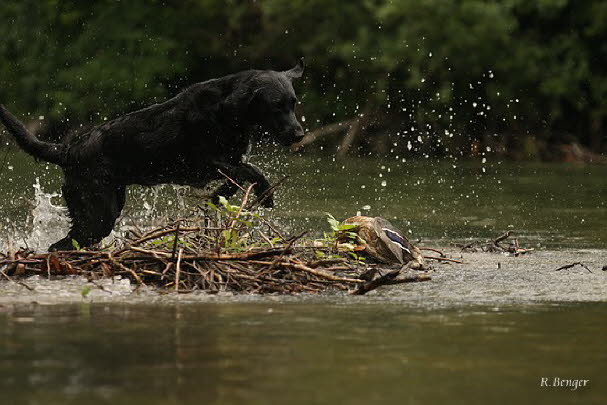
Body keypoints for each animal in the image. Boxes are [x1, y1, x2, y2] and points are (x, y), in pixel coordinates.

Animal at [0, 59, 304, 249]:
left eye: (293, 103)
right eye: (276, 106)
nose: (299, 135)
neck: (230, 112)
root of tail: (68, 150)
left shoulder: (227, 162)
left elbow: (237, 177)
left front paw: (218, 198)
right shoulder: (206, 162)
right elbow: (252, 171)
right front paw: (266, 194)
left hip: (106, 206)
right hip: (99, 212)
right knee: (60, 245)